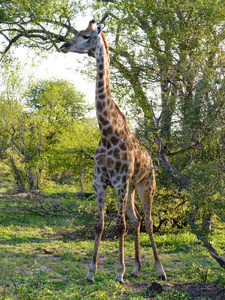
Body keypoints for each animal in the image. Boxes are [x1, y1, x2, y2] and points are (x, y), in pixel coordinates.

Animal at [60, 19, 166, 282]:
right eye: (77, 32)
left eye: (86, 36)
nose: (63, 45)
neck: (108, 133)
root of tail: (151, 160)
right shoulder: (100, 182)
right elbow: (99, 225)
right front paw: (91, 272)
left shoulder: (119, 182)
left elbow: (119, 226)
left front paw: (119, 272)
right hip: (130, 189)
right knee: (136, 220)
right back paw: (137, 268)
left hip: (145, 185)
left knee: (148, 221)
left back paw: (159, 270)